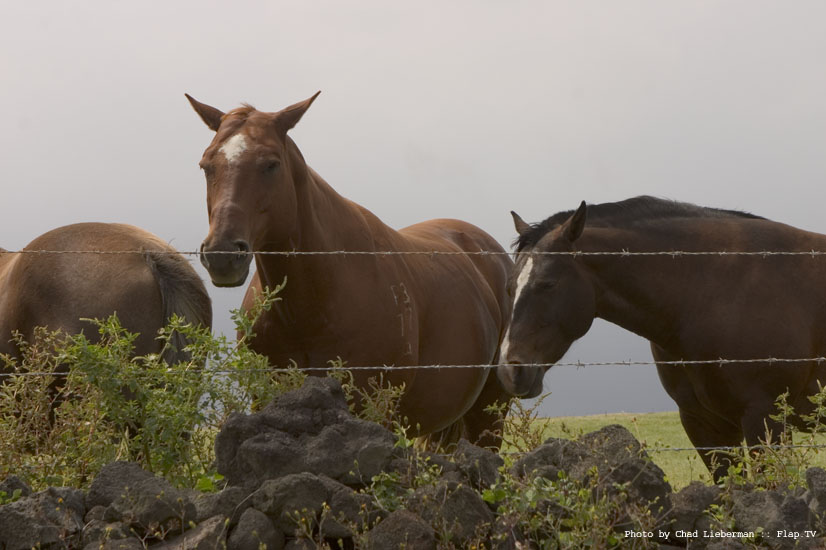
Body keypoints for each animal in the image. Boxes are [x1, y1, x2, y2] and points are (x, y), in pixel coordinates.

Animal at [185, 92, 516, 450]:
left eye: (271, 164)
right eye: (206, 165)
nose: (222, 254)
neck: (315, 303)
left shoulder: (374, 410)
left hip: (489, 414)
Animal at [498, 197, 824, 478]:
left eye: (547, 284)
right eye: (509, 286)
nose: (510, 370)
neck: (717, 290)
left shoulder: (765, 418)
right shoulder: (703, 423)